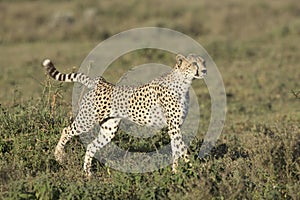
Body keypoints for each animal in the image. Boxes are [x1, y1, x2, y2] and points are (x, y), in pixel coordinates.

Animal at [42, 53, 206, 177]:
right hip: (86, 119)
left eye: (203, 62)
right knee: (66, 130)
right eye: (194, 64)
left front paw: (176, 173)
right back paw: (59, 156)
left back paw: (88, 174)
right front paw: (194, 168)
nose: (204, 70)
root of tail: (99, 82)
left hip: (109, 128)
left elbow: (176, 150)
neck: (184, 83)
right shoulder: (173, 127)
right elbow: (182, 149)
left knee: (91, 146)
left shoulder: (175, 127)